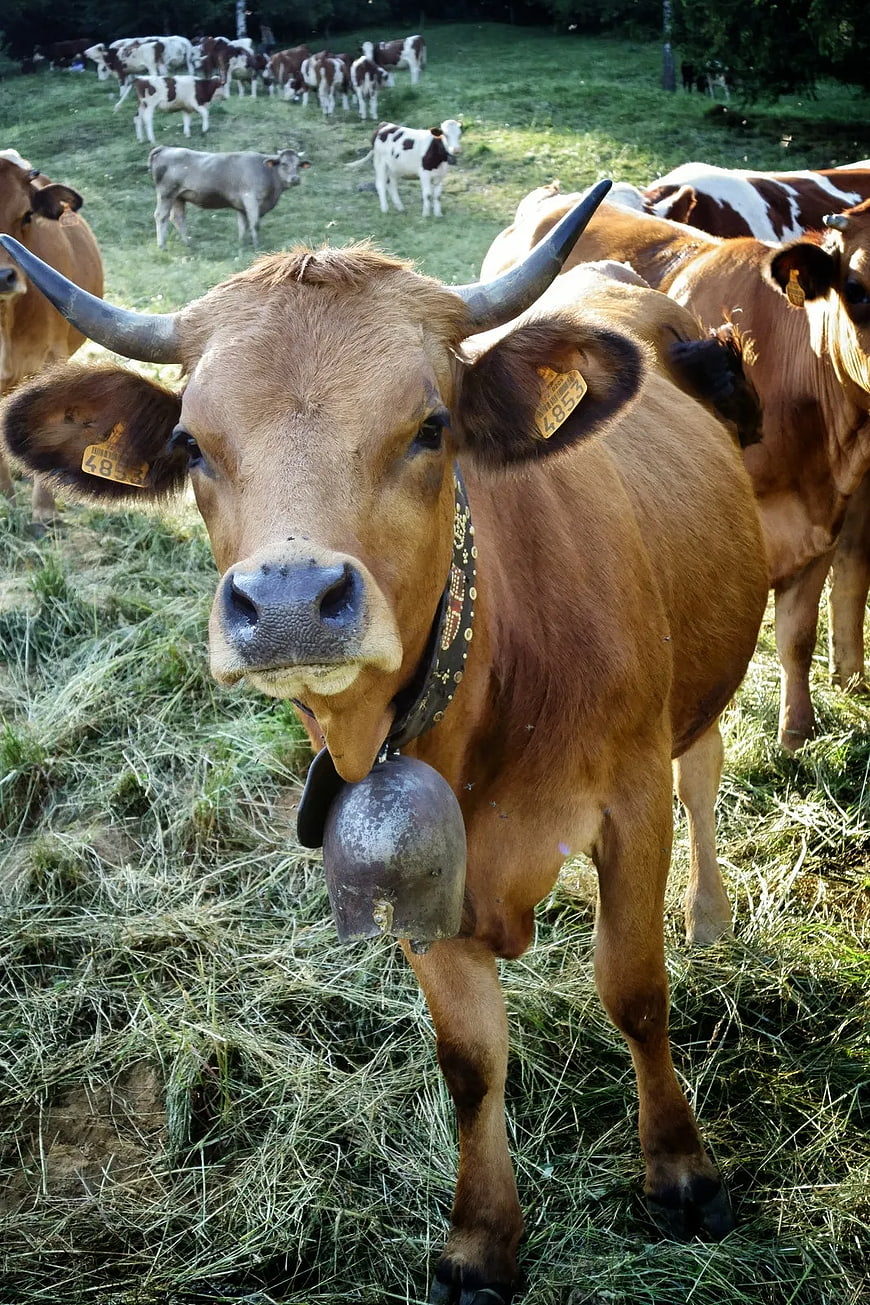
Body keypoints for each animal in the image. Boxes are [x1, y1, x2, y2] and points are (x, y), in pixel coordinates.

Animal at [148, 146, 309, 249]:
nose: (295, 179)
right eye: (283, 163)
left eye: (298, 165)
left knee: (178, 218)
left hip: (178, 197)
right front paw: (257, 247)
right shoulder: (250, 198)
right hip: (166, 193)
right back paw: (162, 246)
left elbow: (243, 225)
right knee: (161, 216)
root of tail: (166, 148)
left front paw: (242, 244)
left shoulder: (241, 205)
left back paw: (189, 244)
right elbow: (254, 223)